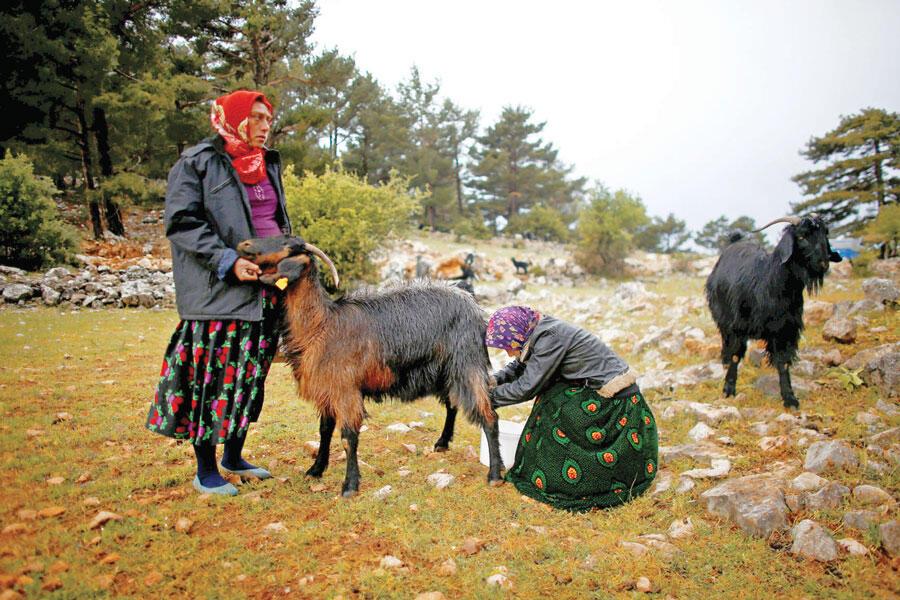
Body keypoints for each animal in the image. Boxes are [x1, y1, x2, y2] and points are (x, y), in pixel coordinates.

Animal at [237, 236, 506, 496]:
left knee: (489, 415)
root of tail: (472, 303)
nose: (245, 244)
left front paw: (350, 486)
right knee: (452, 404)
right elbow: (324, 430)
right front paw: (316, 469)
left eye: (286, 244)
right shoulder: (328, 389)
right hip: (445, 370)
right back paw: (443, 443)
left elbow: (348, 438)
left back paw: (494, 474)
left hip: (467, 363)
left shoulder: (346, 390)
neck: (321, 325)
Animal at [704, 216, 844, 408]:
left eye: (825, 233)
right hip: (722, 316)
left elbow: (783, 363)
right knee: (725, 341)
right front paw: (728, 390)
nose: (823, 263)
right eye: (801, 236)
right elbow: (735, 356)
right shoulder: (739, 325)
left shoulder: (785, 330)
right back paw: (724, 363)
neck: (770, 282)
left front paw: (790, 398)